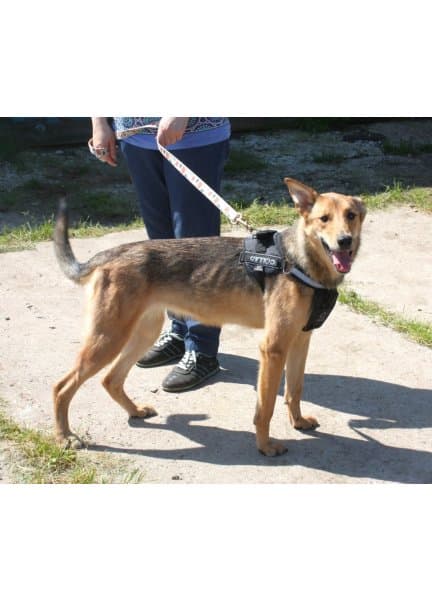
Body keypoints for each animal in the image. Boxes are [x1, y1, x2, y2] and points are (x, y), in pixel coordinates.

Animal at [53, 178, 366, 456]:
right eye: (324, 219)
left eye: (351, 216)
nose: (345, 241)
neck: (298, 261)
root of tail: (112, 253)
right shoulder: (273, 348)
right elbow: (265, 408)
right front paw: (265, 446)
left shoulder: (300, 341)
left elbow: (294, 390)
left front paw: (297, 422)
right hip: (108, 339)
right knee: (61, 387)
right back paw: (65, 437)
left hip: (141, 334)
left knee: (110, 380)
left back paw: (135, 411)